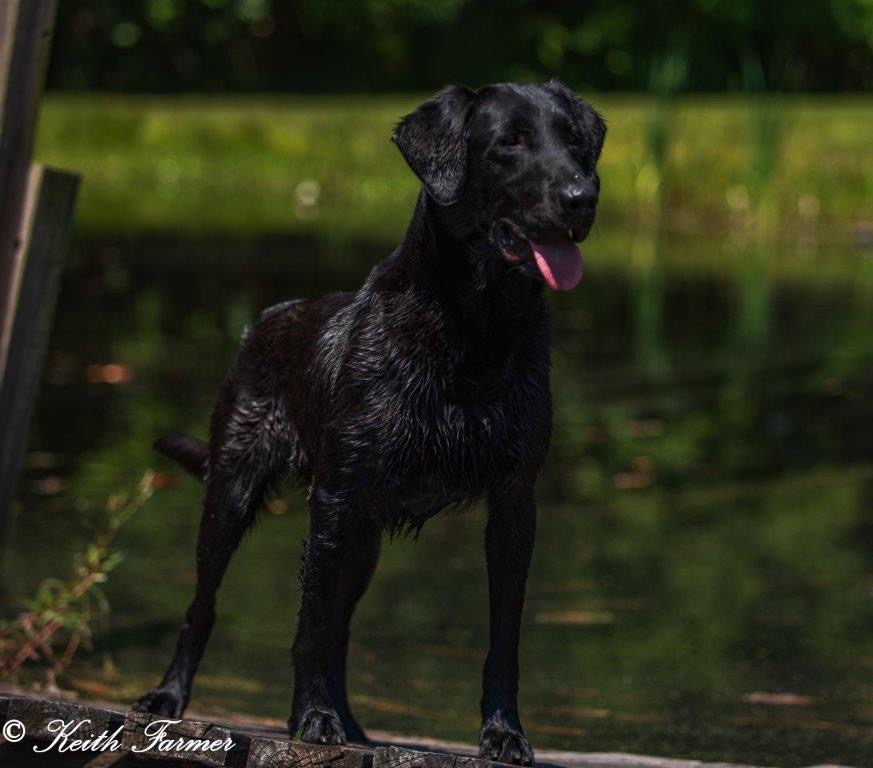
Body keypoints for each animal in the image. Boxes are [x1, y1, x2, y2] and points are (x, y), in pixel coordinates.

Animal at [136, 81, 604, 764]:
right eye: (508, 144)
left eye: (574, 141)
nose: (582, 196)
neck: (474, 327)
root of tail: (263, 321)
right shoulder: (332, 499)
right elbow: (307, 623)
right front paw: (311, 719)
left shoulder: (516, 503)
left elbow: (503, 639)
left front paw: (504, 733)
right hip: (234, 493)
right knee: (208, 605)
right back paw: (171, 697)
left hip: (362, 543)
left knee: (339, 630)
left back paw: (353, 726)